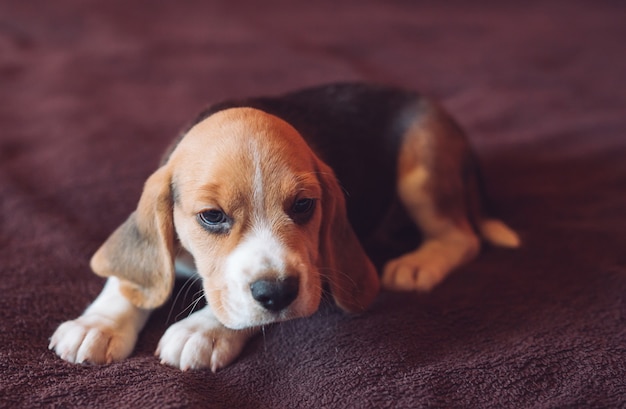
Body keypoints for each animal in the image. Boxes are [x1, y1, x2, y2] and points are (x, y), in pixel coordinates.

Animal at [48, 82, 516, 370]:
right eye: (212, 216)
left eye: (304, 205)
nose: (276, 292)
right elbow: (131, 278)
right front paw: (98, 325)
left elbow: (236, 307)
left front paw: (201, 329)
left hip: (421, 168)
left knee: (462, 237)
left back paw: (419, 264)